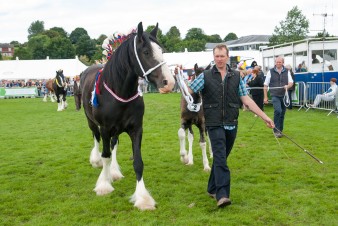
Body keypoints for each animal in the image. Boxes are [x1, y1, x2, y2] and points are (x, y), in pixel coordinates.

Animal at [79, 21, 174, 210]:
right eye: (146, 52)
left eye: (162, 50)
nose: (169, 82)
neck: (119, 92)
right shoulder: (105, 129)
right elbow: (106, 155)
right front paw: (103, 185)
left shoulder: (136, 129)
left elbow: (138, 162)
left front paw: (143, 198)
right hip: (92, 122)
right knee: (96, 139)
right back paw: (96, 161)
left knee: (114, 144)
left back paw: (114, 171)